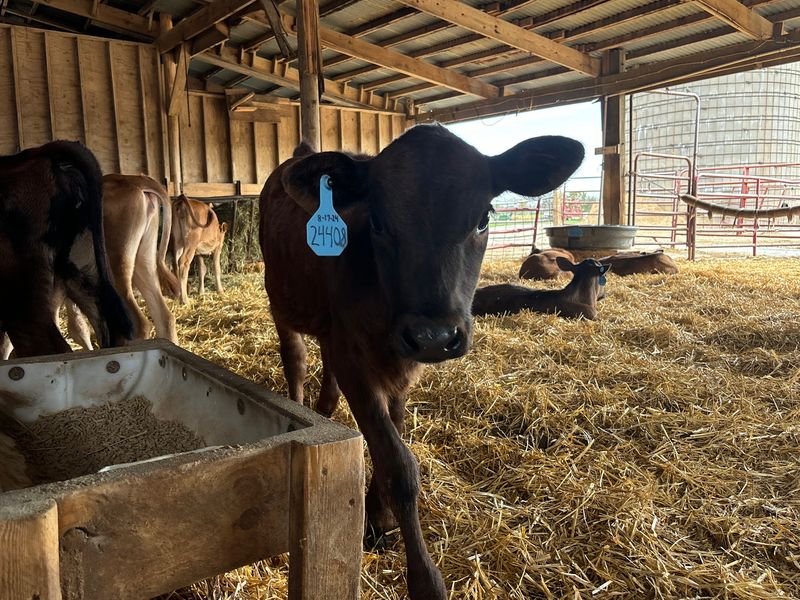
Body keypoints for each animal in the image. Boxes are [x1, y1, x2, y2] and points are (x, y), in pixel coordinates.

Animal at [259, 123, 584, 599]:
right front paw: (424, 577)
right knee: (295, 357)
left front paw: (378, 519)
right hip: (280, 300)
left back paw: (323, 410)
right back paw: (299, 402)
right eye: (377, 220)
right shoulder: (357, 362)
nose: (435, 335)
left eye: (484, 217)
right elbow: (399, 463)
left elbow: (391, 438)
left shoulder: (398, 366)